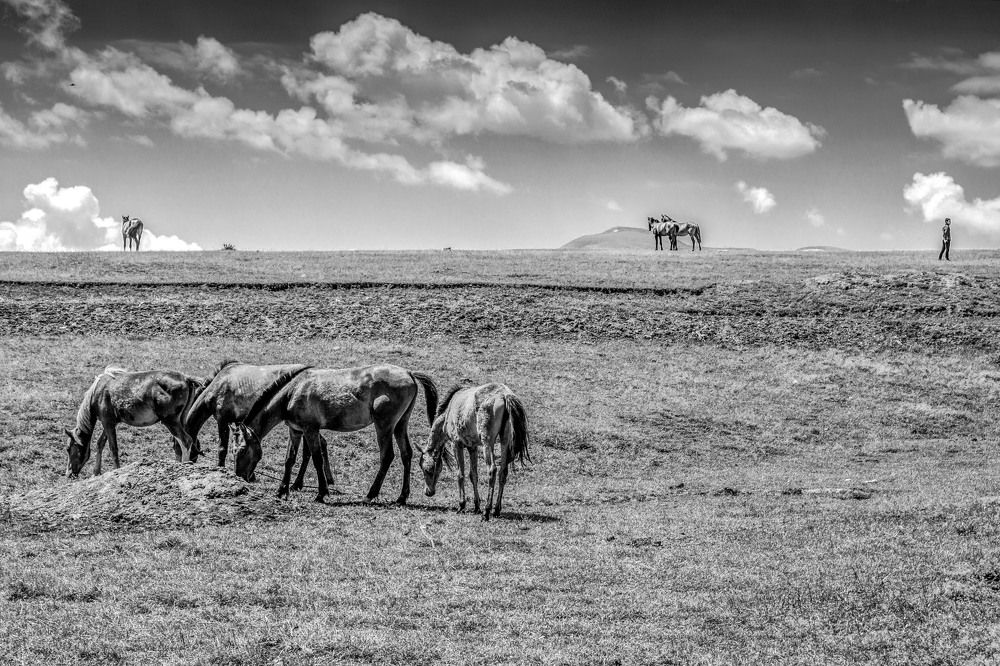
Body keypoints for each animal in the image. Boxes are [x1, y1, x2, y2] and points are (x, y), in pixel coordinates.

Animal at [64, 366, 204, 478]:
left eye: (68, 448)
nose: (68, 474)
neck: (98, 391)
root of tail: (186, 378)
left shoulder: (108, 422)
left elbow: (113, 448)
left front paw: (116, 470)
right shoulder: (110, 423)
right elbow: (100, 444)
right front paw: (96, 472)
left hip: (170, 421)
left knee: (186, 441)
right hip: (179, 421)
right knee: (179, 444)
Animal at [183, 360, 333, 490]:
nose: (185, 463)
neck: (218, 384)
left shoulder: (222, 420)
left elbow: (222, 449)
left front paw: (221, 469)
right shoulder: (239, 424)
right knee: (317, 445)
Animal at [234, 364, 438, 504]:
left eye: (242, 450)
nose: (239, 476)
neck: (292, 392)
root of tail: (409, 373)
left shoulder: (310, 429)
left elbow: (316, 458)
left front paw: (321, 493)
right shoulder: (295, 430)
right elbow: (289, 459)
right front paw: (282, 490)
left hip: (384, 426)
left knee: (387, 456)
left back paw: (370, 494)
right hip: (400, 425)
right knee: (406, 454)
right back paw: (402, 497)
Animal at [417, 383, 529, 521]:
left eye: (426, 469)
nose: (428, 492)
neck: (449, 410)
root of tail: (504, 395)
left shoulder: (457, 444)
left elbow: (460, 474)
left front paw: (462, 505)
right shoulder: (473, 448)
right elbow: (473, 475)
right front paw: (476, 506)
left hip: (487, 442)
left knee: (492, 470)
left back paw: (486, 511)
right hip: (505, 440)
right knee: (503, 472)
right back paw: (496, 510)